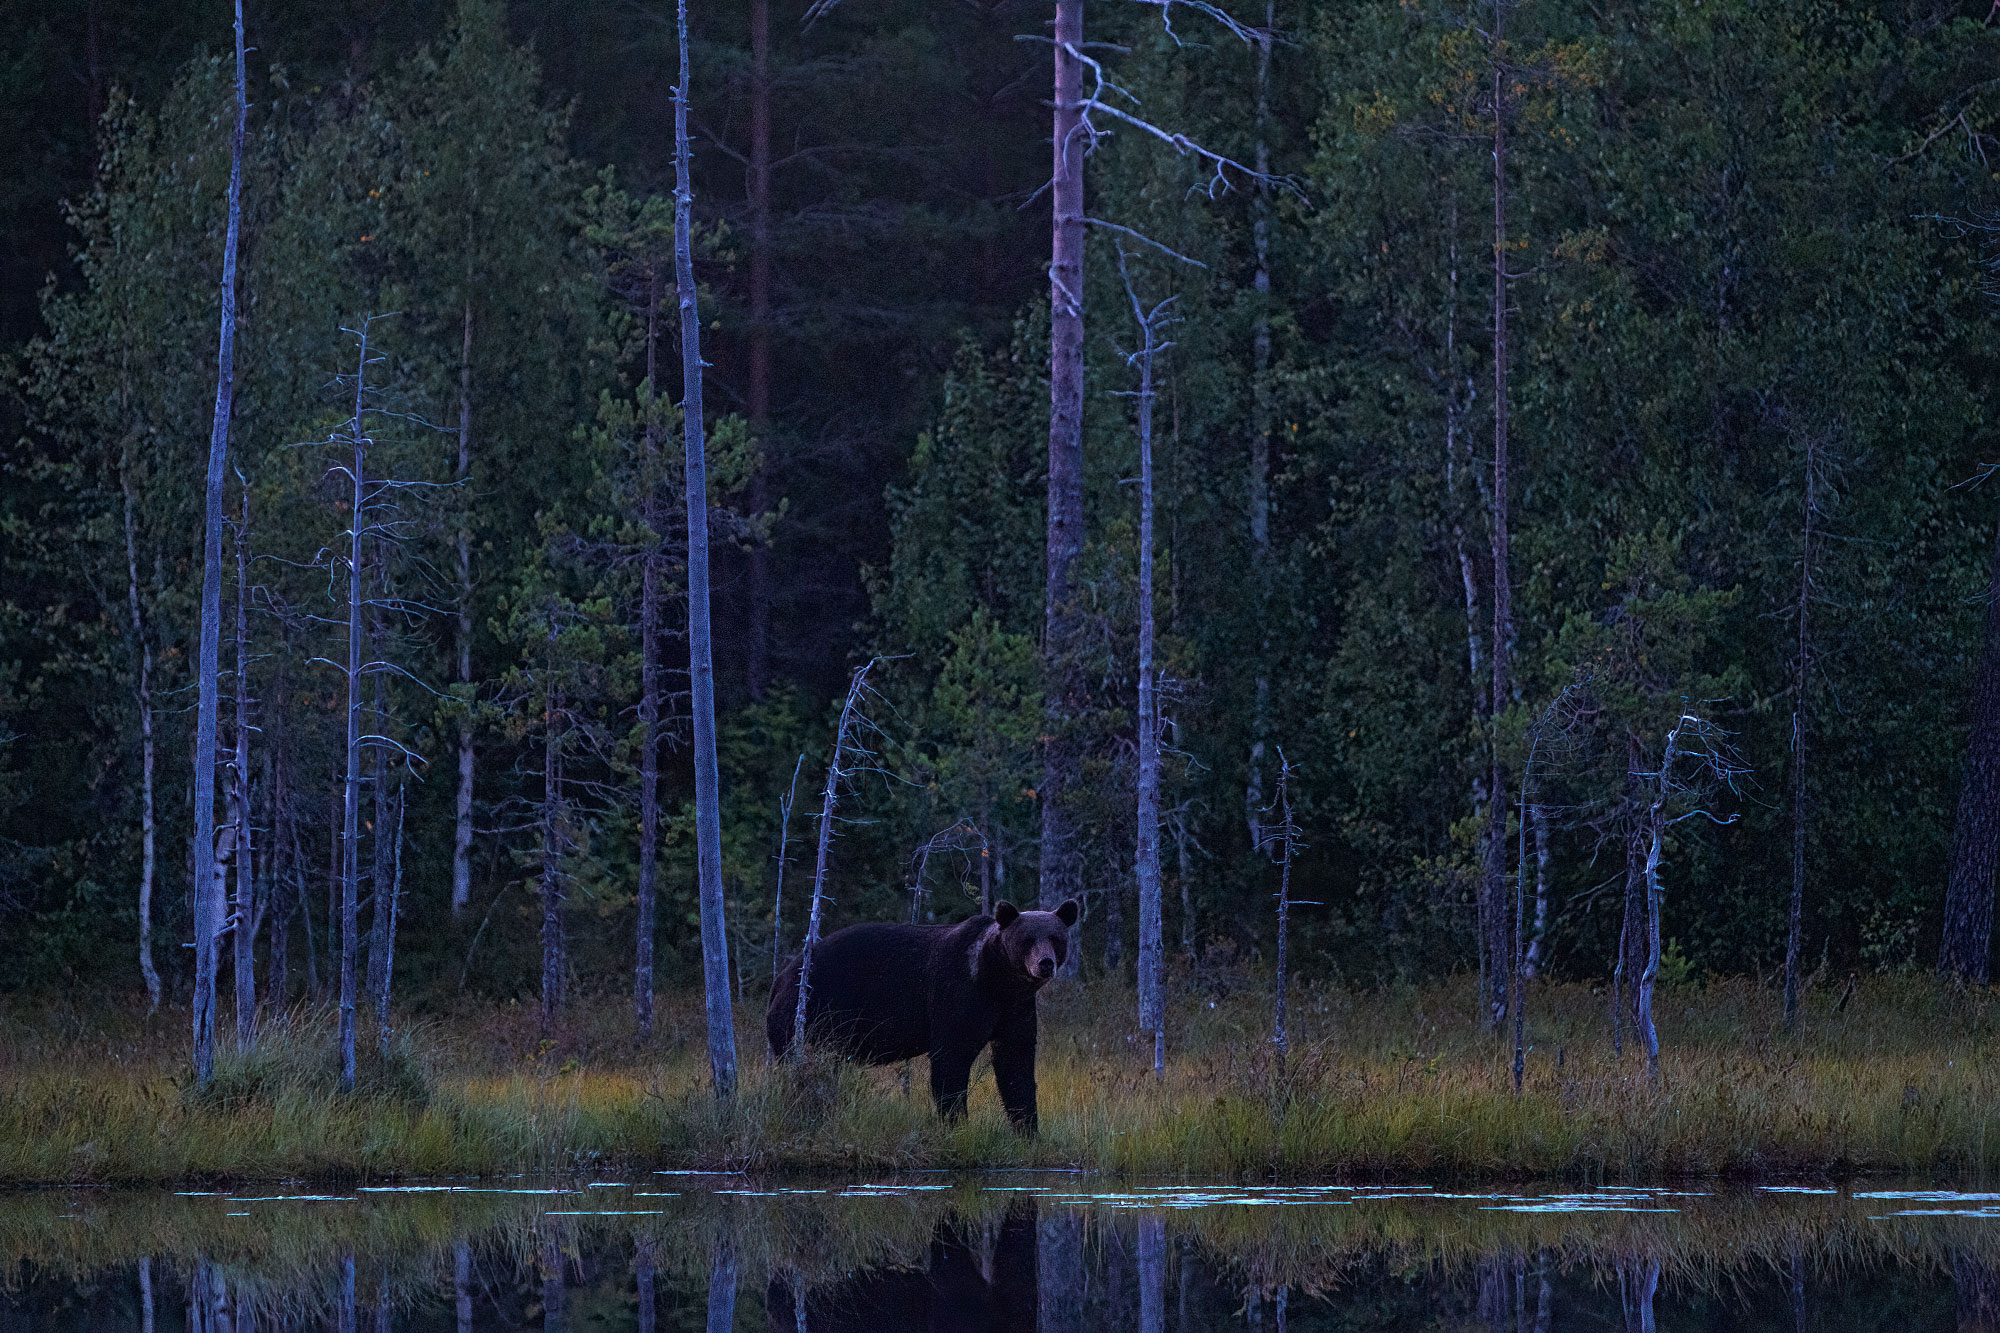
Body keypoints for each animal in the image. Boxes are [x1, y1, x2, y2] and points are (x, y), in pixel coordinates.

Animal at [764, 896, 1080, 1128]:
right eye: (1027, 939)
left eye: (1055, 938)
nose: (1044, 963)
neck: (997, 980)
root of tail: (780, 979)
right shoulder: (957, 995)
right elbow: (951, 1061)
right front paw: (956, 1123)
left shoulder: (1015, 1010)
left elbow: (1016, 1064)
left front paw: (1028, 1128)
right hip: (812, 1013)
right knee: (802, 1065)